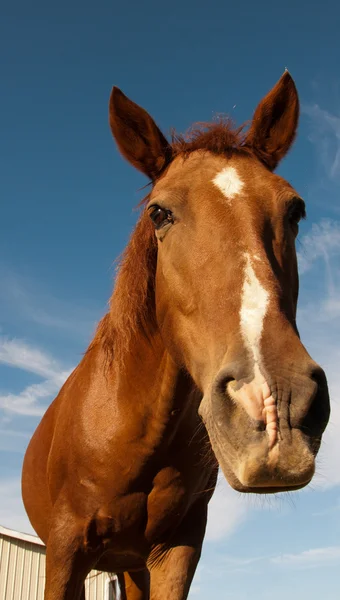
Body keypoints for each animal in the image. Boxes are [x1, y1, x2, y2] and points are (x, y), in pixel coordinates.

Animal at [21, 74, 330, 600]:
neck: (130, 432)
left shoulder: (176, 552)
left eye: (295, 211)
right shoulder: (64, 554)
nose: (277, 405)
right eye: (158, 213)